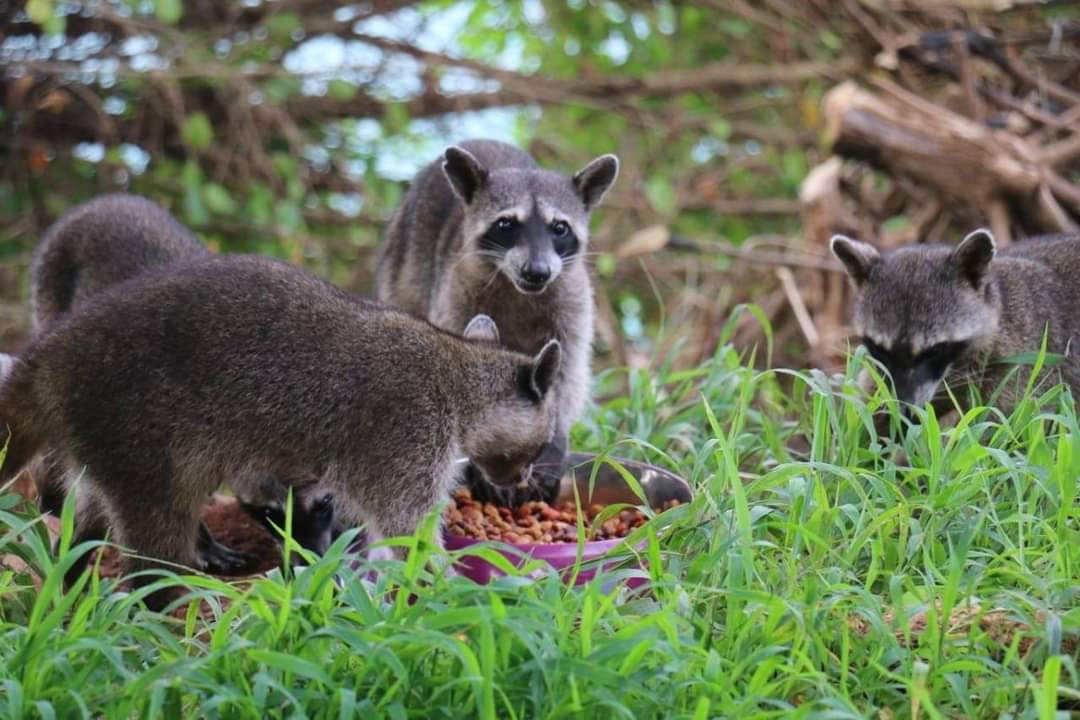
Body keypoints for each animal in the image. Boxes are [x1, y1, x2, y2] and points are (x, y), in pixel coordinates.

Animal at [0, 255, 557, 613]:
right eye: (542, 444)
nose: (522, 479)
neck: (461, 365)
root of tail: (50, 356)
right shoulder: (407, 431)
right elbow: (409, 532)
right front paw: (464, 589)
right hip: (136, 428)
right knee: (158, 531)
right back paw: (159, 604)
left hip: (104, 438)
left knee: (90, 515)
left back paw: (74, 576)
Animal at [17, 194, 332, 565]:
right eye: (270, 514)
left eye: (325, 505)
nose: (312, 559)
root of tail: (108, 200)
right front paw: (200, 540)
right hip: (51, 296)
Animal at [378, 138, 617, 505]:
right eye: (506, 225)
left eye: (559, 228)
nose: (537, 271)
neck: (519, 289)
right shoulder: (456, 294)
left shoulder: (572, 300)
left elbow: (568, 373)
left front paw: (555, 439)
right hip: (403, 264)